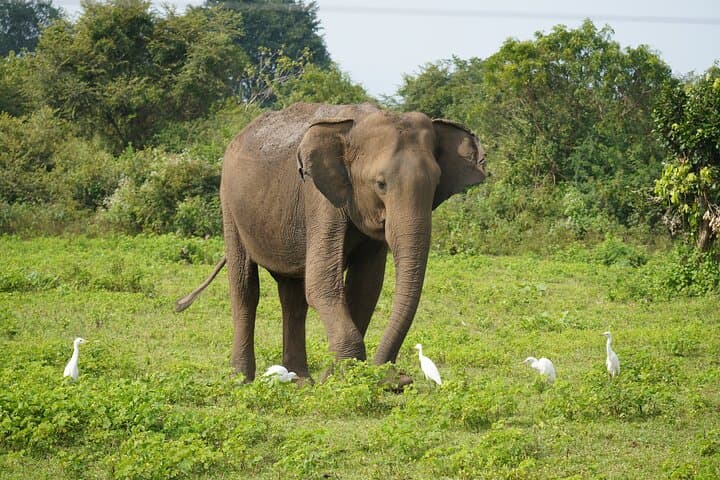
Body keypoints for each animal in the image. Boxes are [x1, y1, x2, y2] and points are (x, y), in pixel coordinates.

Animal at [176, 102, 486, 382]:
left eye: (435, 185)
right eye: (380, 184)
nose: (399, 379)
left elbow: (365, 286)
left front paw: (343, 376)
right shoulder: (318, 198)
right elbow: (322, 283)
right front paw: (340, 378)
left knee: (292, 296)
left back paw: (300, 380)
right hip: (229, 203)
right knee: (245, 287)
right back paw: (240, 380)